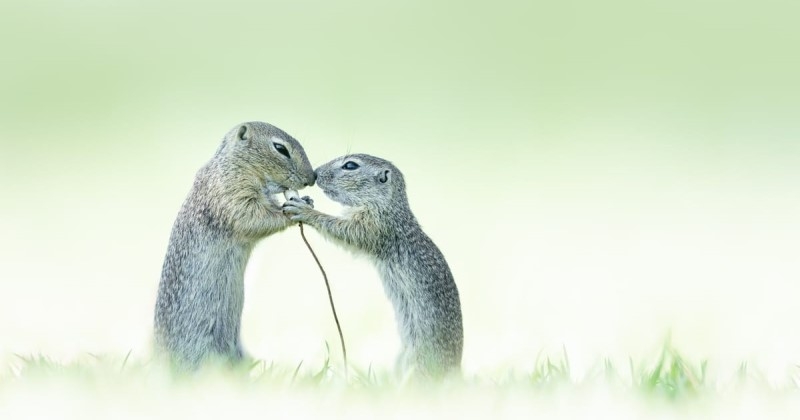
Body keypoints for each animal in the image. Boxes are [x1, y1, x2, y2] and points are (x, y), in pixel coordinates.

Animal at [153, 121, 316, 370]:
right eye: (280, 148)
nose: (312, 177)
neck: (235, 163)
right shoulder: (232, 192)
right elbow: (252, 217)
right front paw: (293, 209)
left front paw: (306, 201)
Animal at [284, 153, 466, 378]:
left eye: (350, 165)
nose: (316, 173)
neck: (388, 205)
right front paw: (307, 200)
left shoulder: (374, 226)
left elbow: (344, 230)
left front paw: (305, 210)